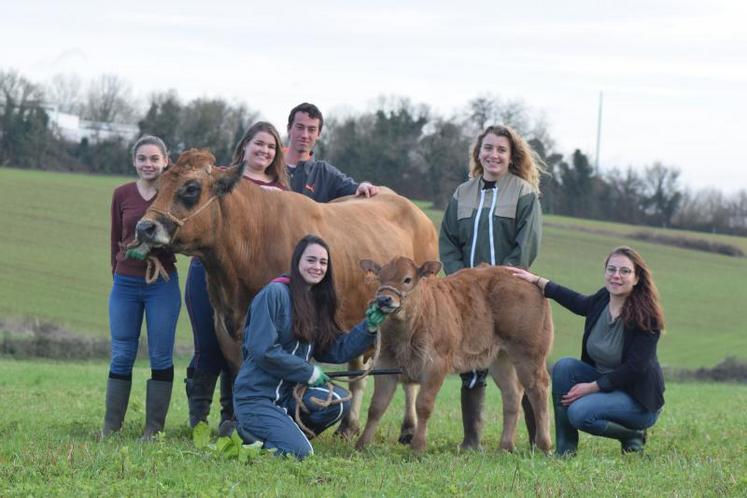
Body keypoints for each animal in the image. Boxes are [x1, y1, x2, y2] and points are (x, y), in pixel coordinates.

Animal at [133, 150, 438, 438]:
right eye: (159, 186)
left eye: (191, 188)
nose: (144, 227)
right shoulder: (224, 325)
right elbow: (238, 374)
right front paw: (237, 424)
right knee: (358, 372)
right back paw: (347, 427)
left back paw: (408, 429)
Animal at [354, 258, 552, 454]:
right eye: (380, 278)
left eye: (407, 279)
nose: (383, 299)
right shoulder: (386, 365)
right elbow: (376, 406)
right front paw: (361, 444)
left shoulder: (436, 365)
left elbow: (423, 405)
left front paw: (418, 447)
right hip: (500, 359)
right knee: (512, 393)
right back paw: (505, 446)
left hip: (529, 353)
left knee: (538, 389)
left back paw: (544, 444)